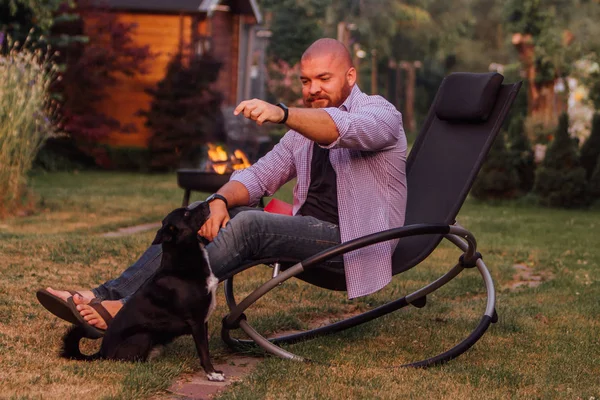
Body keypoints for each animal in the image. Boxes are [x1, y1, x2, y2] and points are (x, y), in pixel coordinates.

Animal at [61, 203, 225, 382]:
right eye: (186, 214)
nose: (208, 203)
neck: (182, 259)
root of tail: (102, 353)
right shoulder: (196, 321)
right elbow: (204, 351)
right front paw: (212, 374)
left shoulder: (203, 320)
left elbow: (205, 347)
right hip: (143, 335)